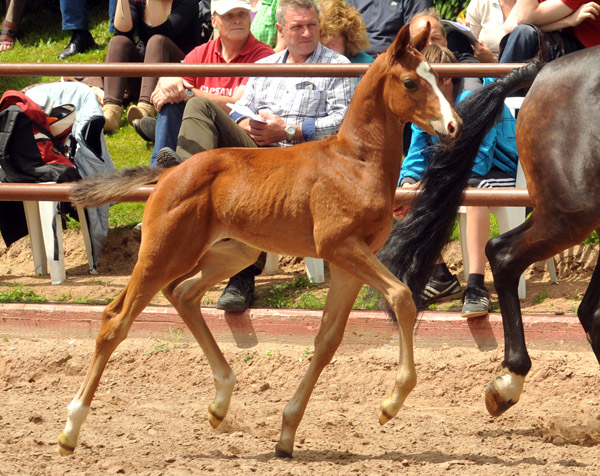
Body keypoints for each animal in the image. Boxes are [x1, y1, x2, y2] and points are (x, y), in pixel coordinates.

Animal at [57, 22, 460, 458]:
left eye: (437, 76)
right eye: (411, 82)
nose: (453, 126)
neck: (355, 162)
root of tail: (169, 172)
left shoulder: (351, 261)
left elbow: (328, 339)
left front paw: (287, 432)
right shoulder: (340, 247)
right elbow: (402, 297)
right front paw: (391, 404)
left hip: (229, 253)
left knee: (183, 294)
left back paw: (220, 404)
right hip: (163, 253)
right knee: (117, 319)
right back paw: (70, 430)